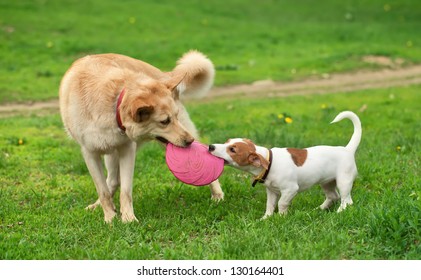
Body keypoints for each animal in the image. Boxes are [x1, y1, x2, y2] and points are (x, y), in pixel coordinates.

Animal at [208, 111, 360, 219]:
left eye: (232, 150)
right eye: (227, 141)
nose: (210, 146)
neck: (269, 161)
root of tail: (347, 149)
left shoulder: (290, 189)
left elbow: (282, 203)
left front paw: (281, 217)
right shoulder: (271, 191)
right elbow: (269, 205)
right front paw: (266, 218)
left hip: (344, 181)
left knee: (347, 200)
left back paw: (340, 212)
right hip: (327, 182)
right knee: (333, 196)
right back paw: (319, 209)